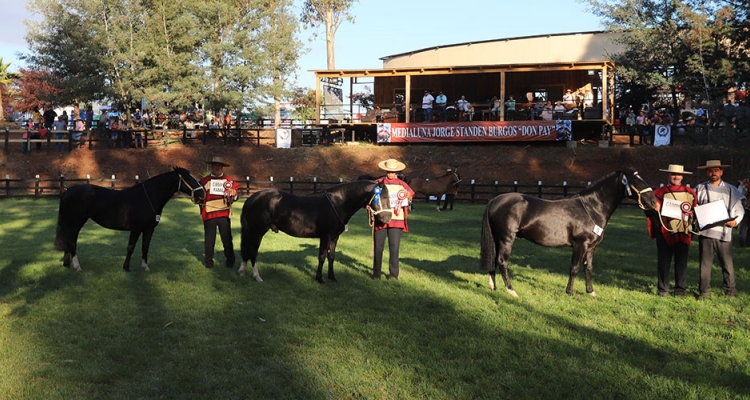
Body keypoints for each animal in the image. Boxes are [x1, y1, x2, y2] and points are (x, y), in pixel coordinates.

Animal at [54, 166, 206, 272]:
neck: (148, 197)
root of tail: (67, 191)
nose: (203, 193)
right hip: (76, 222)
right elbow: (131, 247)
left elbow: (145, 247)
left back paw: (67, 264)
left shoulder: (149, 229)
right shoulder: (136, 229)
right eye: (189, 178)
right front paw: (126, 267)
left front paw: (145, 267)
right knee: (72, 241)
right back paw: (77, 266)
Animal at [239, 180, 394, 282]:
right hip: (257, 232)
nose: (387, 218)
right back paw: (257, 276)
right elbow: (322, 256)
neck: (337, 203)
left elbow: (331, 256)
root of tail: (251, 198)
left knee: (247, 250)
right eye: (384, 196)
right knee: (253, 252)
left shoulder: (334, 237)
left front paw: (332, 277)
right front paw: (319, 278)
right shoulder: (325, 236)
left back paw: (243, 271)